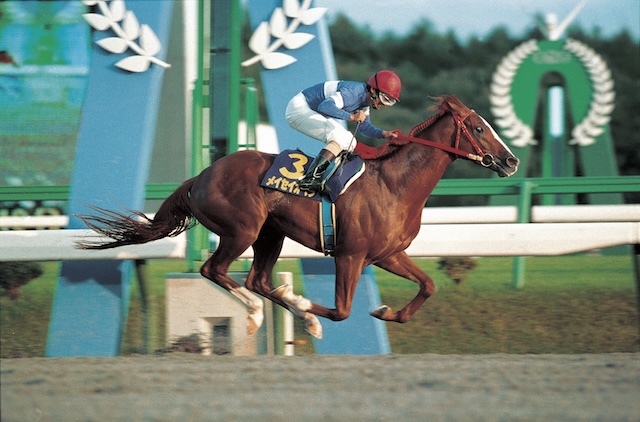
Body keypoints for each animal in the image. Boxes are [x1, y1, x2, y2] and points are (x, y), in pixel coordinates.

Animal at [77, 95, 519, 339]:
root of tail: (201, 175)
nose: (511, 161)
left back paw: (288, 311)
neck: (394, 185)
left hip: (270, 235)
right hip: (241, 230)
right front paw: (309, 305)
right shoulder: (350, 255)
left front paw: (388, 313)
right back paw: (259, 313)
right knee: (214, 270)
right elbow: (341, 310)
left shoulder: (388, 254)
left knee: (256, 279)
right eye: (479, 127)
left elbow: (428, 285)